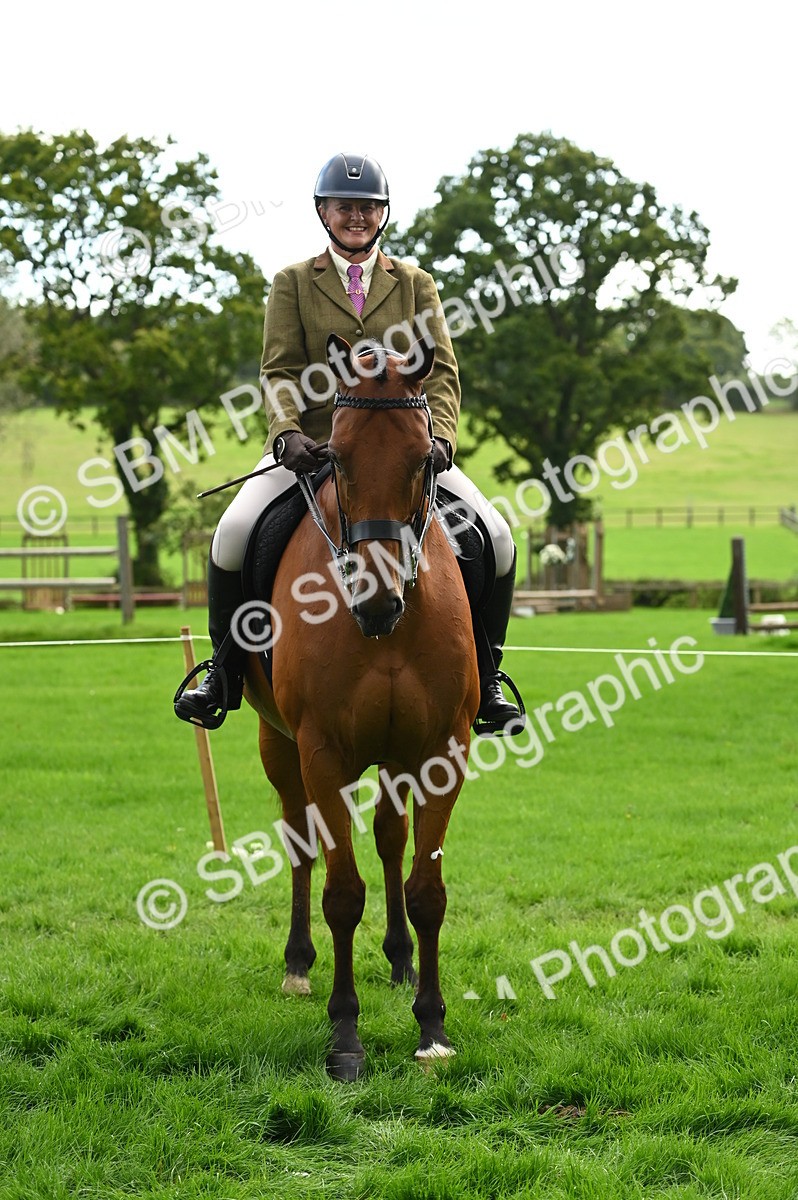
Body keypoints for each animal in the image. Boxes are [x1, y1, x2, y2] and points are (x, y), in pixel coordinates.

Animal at [243, 332, 480, 1081]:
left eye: (423, 457)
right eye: (337, 458)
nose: (378, 602)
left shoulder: (441, 751)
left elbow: (426, 890)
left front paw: (432, 1027)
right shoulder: (322, 750)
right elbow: (342, 894)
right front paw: (345, 1037)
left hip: (397, 758)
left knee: (389, 838)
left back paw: (401, 963)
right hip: (278, 744)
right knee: (301, 842)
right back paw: (298, 965)